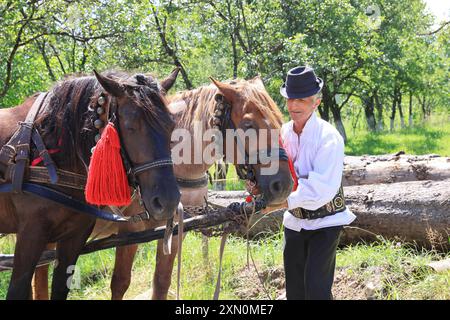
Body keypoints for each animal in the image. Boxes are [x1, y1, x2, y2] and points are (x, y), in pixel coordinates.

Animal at [30, 75, 292, 300]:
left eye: (279, 119)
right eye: (248, 124)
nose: (284, 186)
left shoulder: (175, 228)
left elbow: (162, 282)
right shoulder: (129, 231)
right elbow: (120, 283)